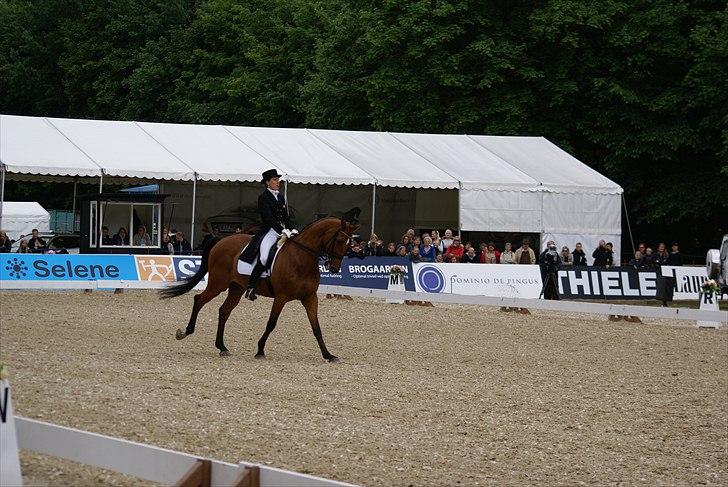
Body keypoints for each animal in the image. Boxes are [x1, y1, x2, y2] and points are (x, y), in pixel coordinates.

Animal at [161, 208, 362, 360]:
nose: (334, 268)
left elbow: (316, 327)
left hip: (236, 288)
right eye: (339, 240)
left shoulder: (310, 298)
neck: (301, 258)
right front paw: (260, 350)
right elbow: (271, 324)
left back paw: (222, 347)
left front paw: (328, 355)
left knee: (224, 311)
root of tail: (221, 240)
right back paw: (185, 332)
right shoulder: (281, 297)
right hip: (218, 283)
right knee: (199, 300)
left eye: (349, 243)